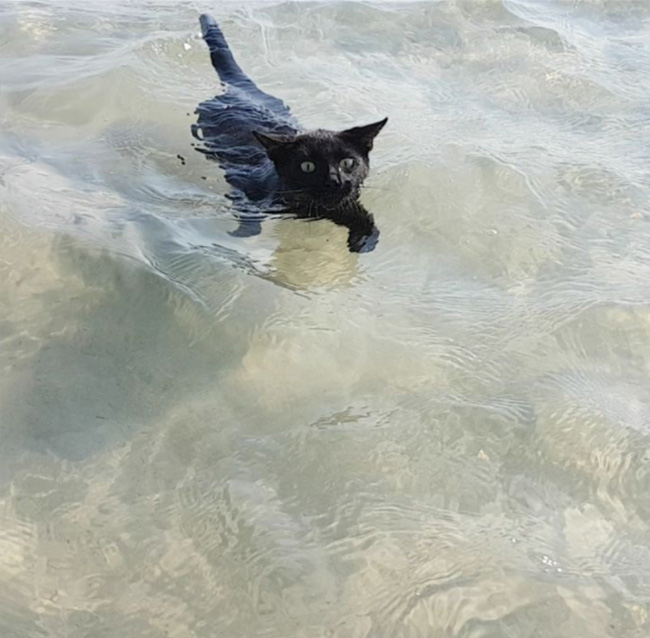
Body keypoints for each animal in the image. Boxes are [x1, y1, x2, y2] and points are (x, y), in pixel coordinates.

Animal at [191, 12, 384, 252]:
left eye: (348, 163)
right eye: (307, 166)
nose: (335, 181)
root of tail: (239, 89)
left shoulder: (345, 203)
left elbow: (368, 222)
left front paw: (362, 242)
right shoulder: (246, 192)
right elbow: (249, 218)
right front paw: (242, 234)